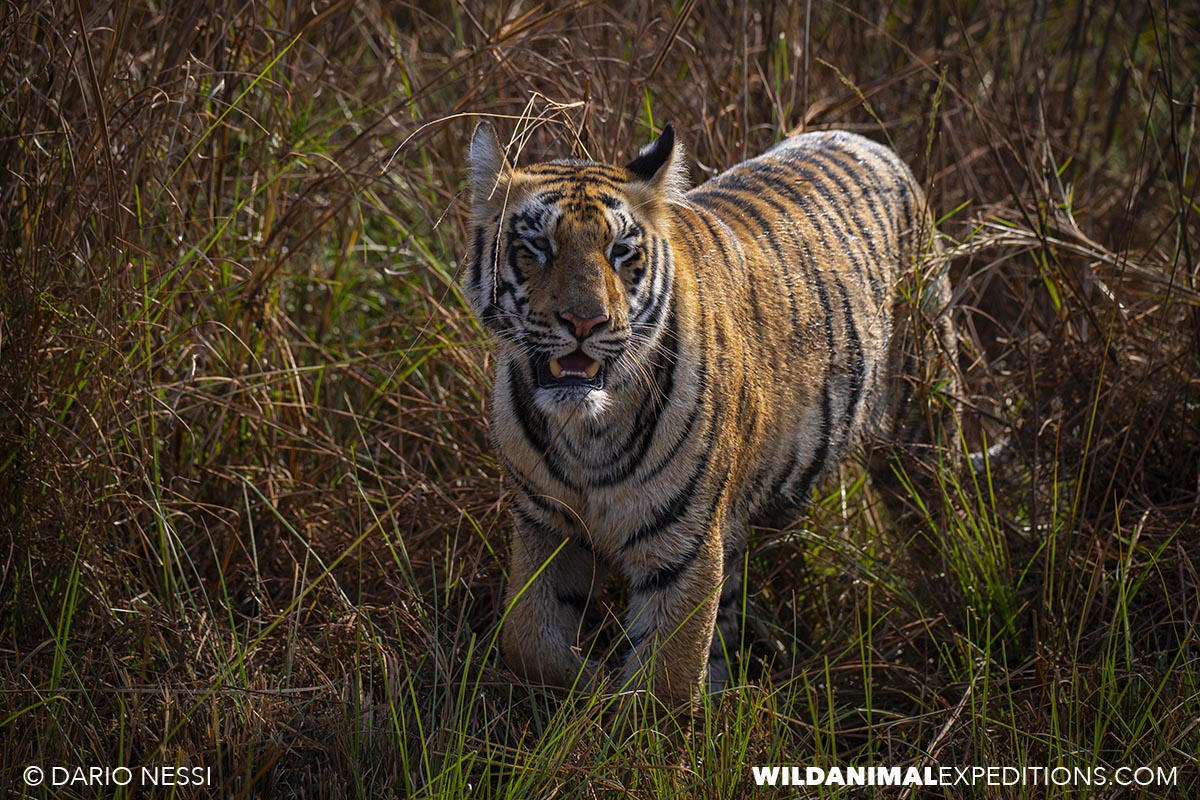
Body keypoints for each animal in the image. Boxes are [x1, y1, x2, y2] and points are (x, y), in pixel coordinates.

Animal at [464, 119, 956, 705]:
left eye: (621, 250)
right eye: (538, 245)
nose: (585, 322)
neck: (586, 431)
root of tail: (871, 143)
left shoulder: (684, 546)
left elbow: (664, 687)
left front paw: (627, 708)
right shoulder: (544, 525)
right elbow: (526, 643)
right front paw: (590, 686)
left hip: (922, 426)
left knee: (939, 519)